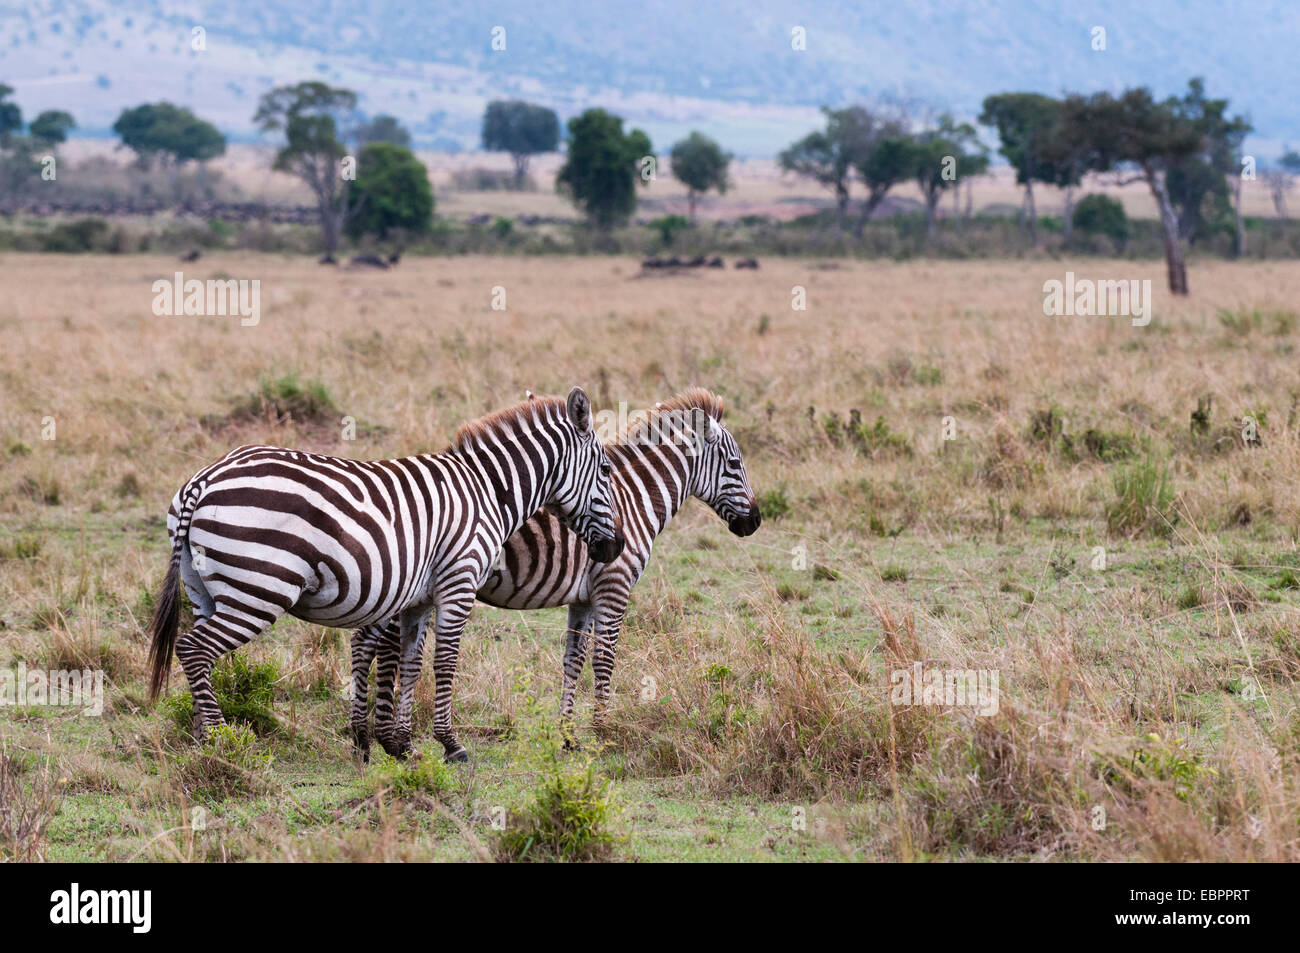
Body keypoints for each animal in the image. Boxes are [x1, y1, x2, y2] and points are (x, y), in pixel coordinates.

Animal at [147, 382, 624, 764]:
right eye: (605, 470)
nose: (616, 547)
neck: (487, 490)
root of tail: (204, 479)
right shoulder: (459, 580)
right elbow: (445, 662)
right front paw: (451, 745)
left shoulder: (420, 598)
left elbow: (411, 664)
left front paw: (402, 745)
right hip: (259, 589)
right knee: (194, 650)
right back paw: (219, 742)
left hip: (206, 591)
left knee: (198, 655)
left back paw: (198, 743)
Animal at [356, 387, 759, 759]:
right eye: (735, 464)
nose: (755, 522)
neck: (634, 499)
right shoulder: (614, 587)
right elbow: (604, 659)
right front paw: (604, 731)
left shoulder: (584, 599)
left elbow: (573, 661)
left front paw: (569, 737)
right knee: (378, 645)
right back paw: (389, 741)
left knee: (372, 642)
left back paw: (378, 740)